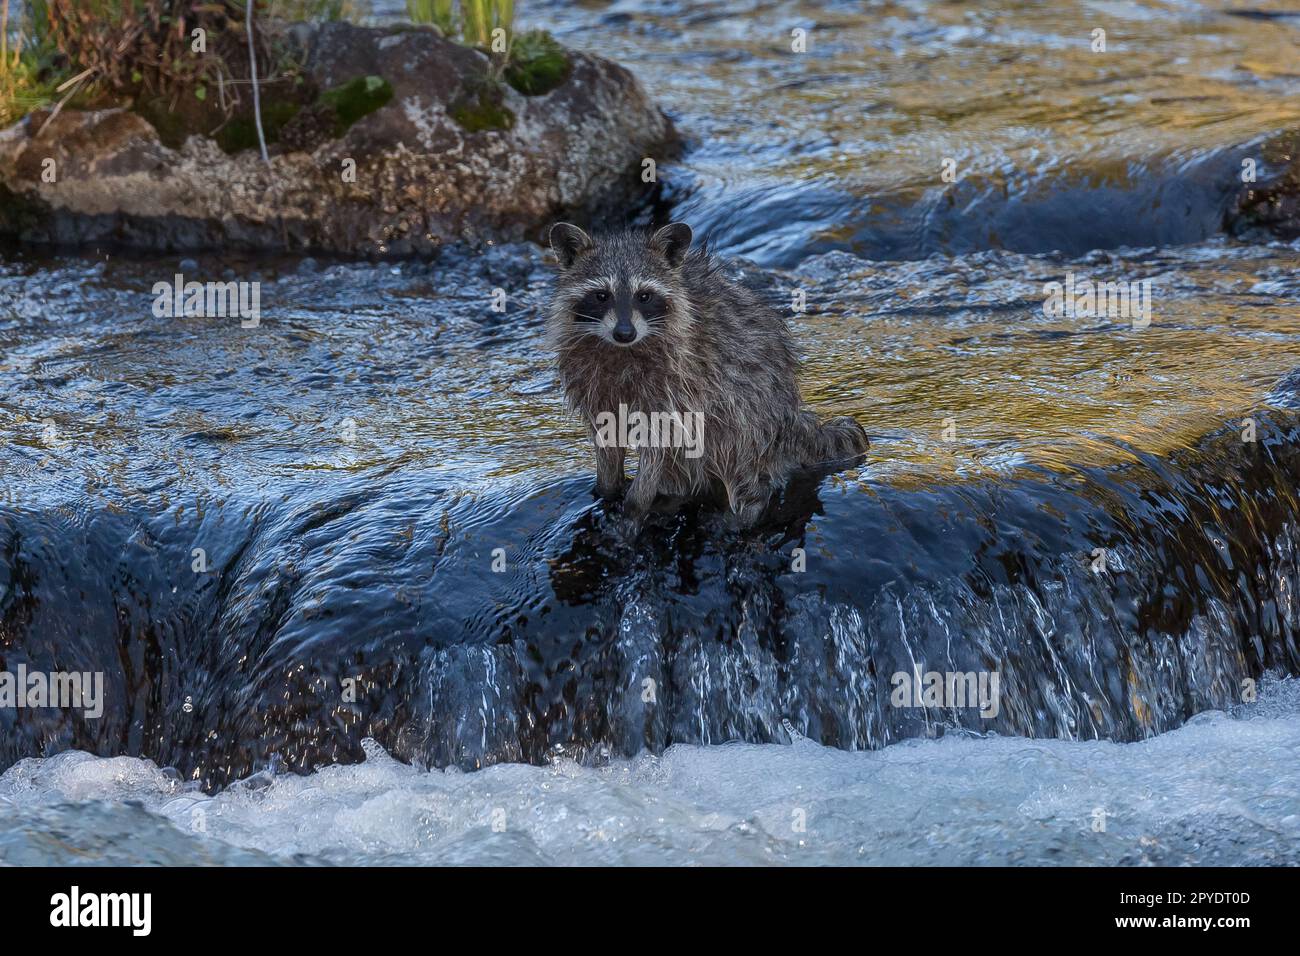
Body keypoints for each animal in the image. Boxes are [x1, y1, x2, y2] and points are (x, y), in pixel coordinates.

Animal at [547, 221, 869, 525]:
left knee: (738, 448)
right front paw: (608, 487)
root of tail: (791, 421)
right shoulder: (590, 380)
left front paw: (635, 504)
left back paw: (745, 508)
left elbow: (661, 439)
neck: (620, 349)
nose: (624, 332)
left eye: (644, 295)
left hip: (754, 409)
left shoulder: (676, 381)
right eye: (602, 295)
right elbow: (606, 434)